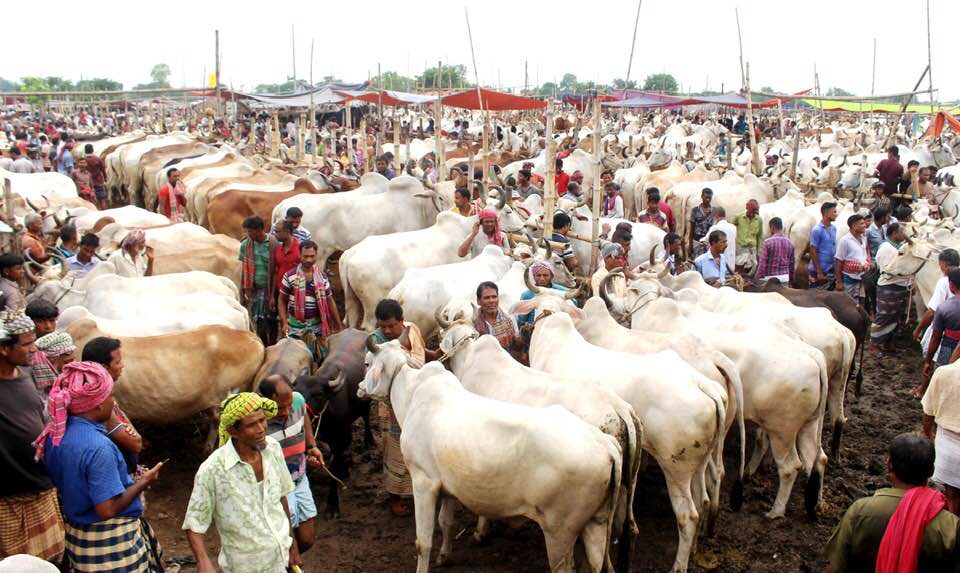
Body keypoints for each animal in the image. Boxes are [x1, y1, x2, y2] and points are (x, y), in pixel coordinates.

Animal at [294, 326, 374, 520]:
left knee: (366, 416)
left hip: (365, 401)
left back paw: (369, 441)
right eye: (296, 390)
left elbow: (333, 465)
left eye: (318, 394)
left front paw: (332, 506)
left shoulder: (339, 436)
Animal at [360, 336, 624, 572]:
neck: (411, 394)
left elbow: (422, 543)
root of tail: (604, 443)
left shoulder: (423, 482)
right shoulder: (449, 486)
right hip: (596, 523)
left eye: (367, 363)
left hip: (559, 531)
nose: (360, 388)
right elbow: (446, 522)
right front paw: (445, 556)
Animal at [528, 310, 724, 573]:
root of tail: (703, 385)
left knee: (687, 515)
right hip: (699, 462)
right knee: (703, 499)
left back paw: (679, 564)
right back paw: (694, 549)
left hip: (676, 467)